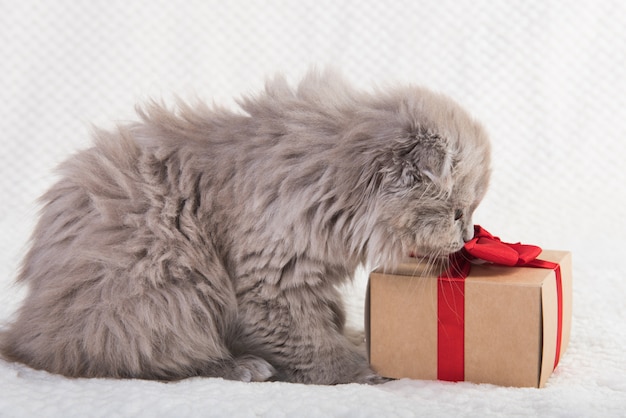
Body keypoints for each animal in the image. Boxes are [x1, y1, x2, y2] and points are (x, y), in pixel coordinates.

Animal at [0, 69, 488, 386]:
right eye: (457, 212)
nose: (468, 235)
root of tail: (27, 329)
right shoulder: (272, 279)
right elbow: (309, 340)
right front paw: (358, 368)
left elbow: (328, 317)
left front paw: (355, 338)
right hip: (167, 288)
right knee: (141, 357)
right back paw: (242, 367)